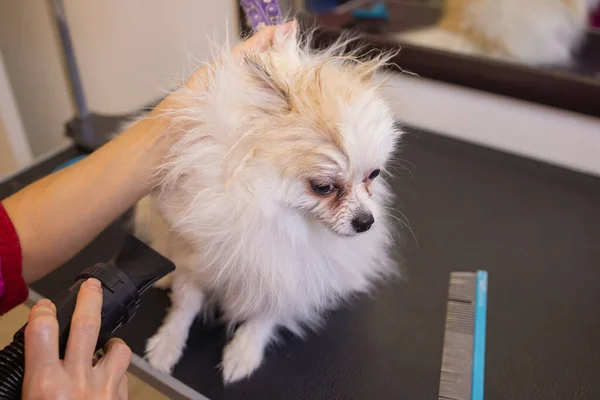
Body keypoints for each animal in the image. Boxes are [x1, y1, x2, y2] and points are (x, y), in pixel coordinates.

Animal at [134, 25, 400, 384]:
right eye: (322, 187)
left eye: (374, 174)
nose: (365, 221)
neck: (275, 213)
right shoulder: (198, 255)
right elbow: (185, 305)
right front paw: (167, 342)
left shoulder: (286, 274)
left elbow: (264, 316)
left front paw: (243, 353)